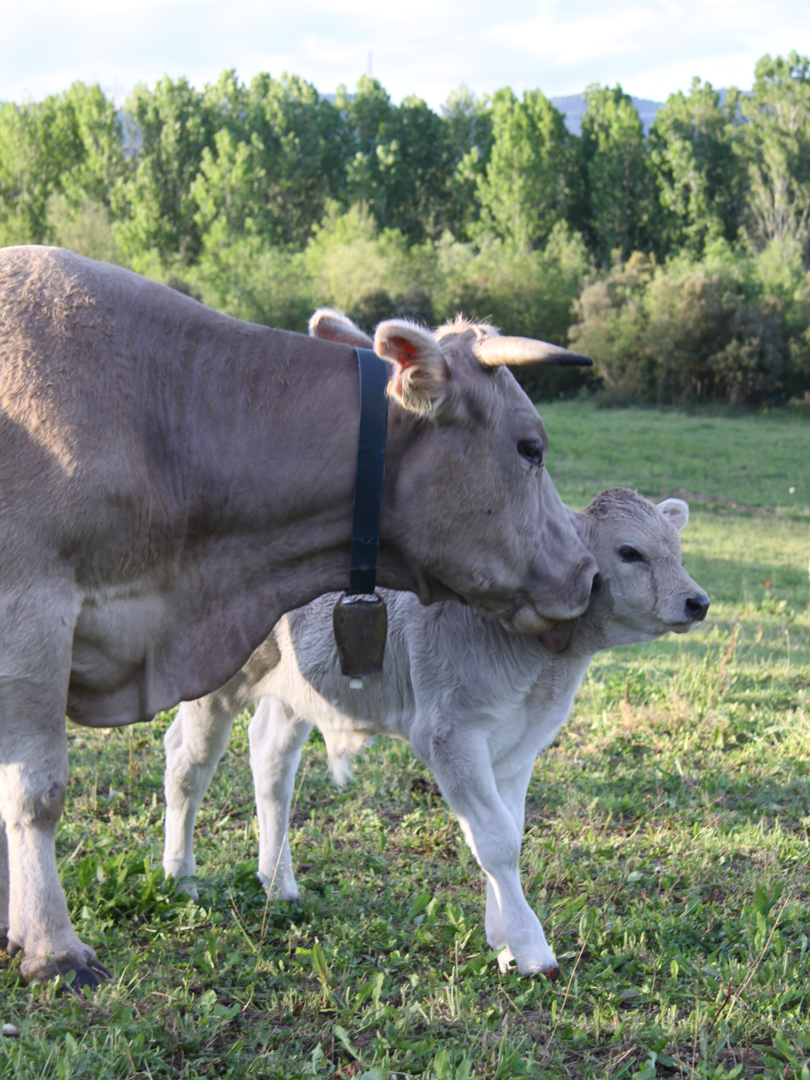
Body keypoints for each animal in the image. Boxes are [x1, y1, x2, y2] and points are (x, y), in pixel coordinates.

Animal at [163, 492, 708, 980]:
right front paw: (532, 950)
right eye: (629, 552)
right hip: (214, 680)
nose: (698, 601)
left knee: (270, 759)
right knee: (187, 764)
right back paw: (179, 877)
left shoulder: (518, 746)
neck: (539, 670)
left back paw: (279, 884)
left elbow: (509, 831)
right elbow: (497, 842)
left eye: (677, 549)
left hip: (297, 689)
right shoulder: (449, 733)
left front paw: (502, 942)